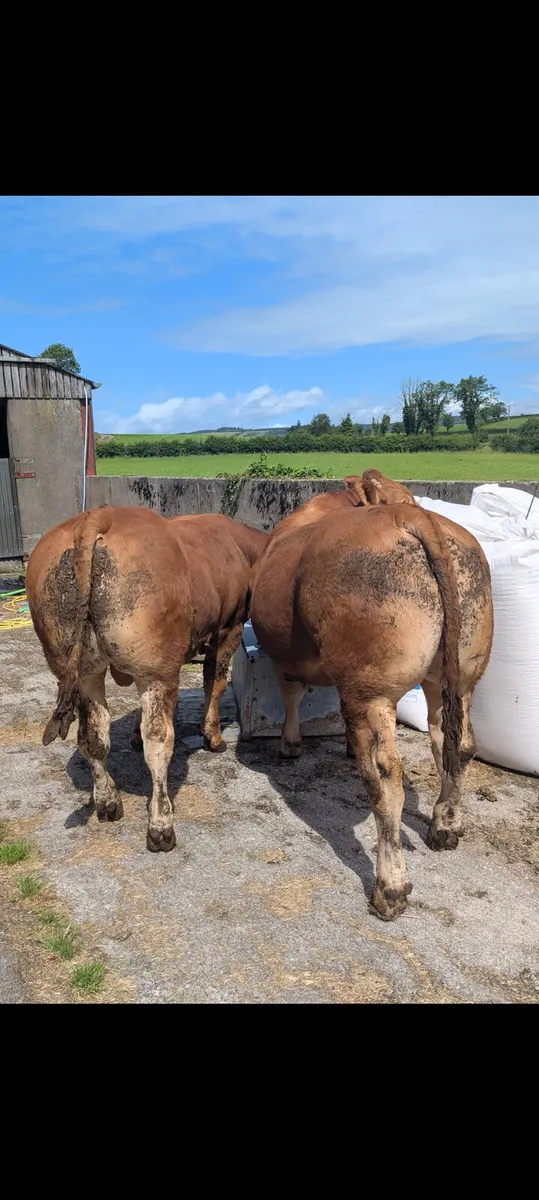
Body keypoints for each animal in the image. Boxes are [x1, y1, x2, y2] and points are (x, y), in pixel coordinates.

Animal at [26, 506, 268, 852]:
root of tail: (97, 516)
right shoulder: (227, 629)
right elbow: (215, 684)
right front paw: (213, 735)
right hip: (156, 671)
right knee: (158, 744)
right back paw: (161, 826)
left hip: (82, 668)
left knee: (93, 735)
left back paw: (107, 802)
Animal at [249, 469, 494, 921]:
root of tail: (412, 518)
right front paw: (346, 745)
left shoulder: (286, 658)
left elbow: (292, 695)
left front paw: (290, 744)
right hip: (460, 675)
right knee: (455, 743)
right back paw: (445, 825)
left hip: (371, 690)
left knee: (386, 778)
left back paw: (390, 885)